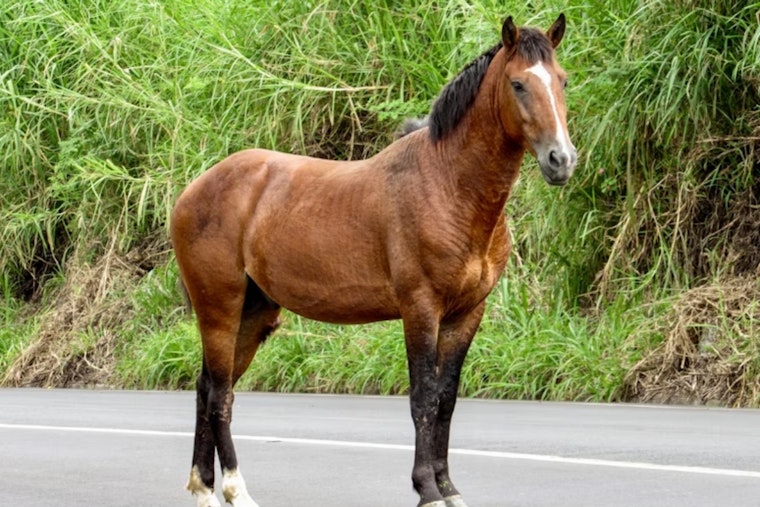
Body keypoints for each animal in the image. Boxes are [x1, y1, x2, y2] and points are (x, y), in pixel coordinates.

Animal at [170, 13, 576, 507]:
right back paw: (234, 488)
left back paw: (204, 488)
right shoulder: (420, 309)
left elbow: (446, 399)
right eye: (518, 84)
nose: (561, 160)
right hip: (220, 309)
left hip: (254, 313)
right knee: (219, 396)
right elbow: (422, 399)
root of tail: (193, 190)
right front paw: (427, 490)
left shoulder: (466, 314)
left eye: (562, 80)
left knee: (208, 386)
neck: (448, 184)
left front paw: (449, 488)